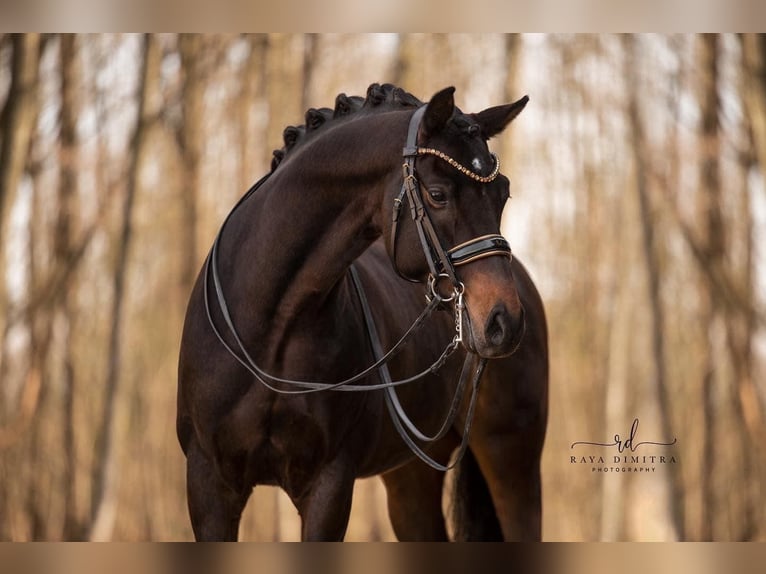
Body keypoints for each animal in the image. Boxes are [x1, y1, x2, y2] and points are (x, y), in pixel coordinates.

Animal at [178, 83, 552, 544]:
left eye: (503, 194)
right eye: (438, 194)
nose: (504, 321)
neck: (269, 328)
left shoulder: (329, 484)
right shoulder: (209, 484)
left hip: (511, 461)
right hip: (413, 477)